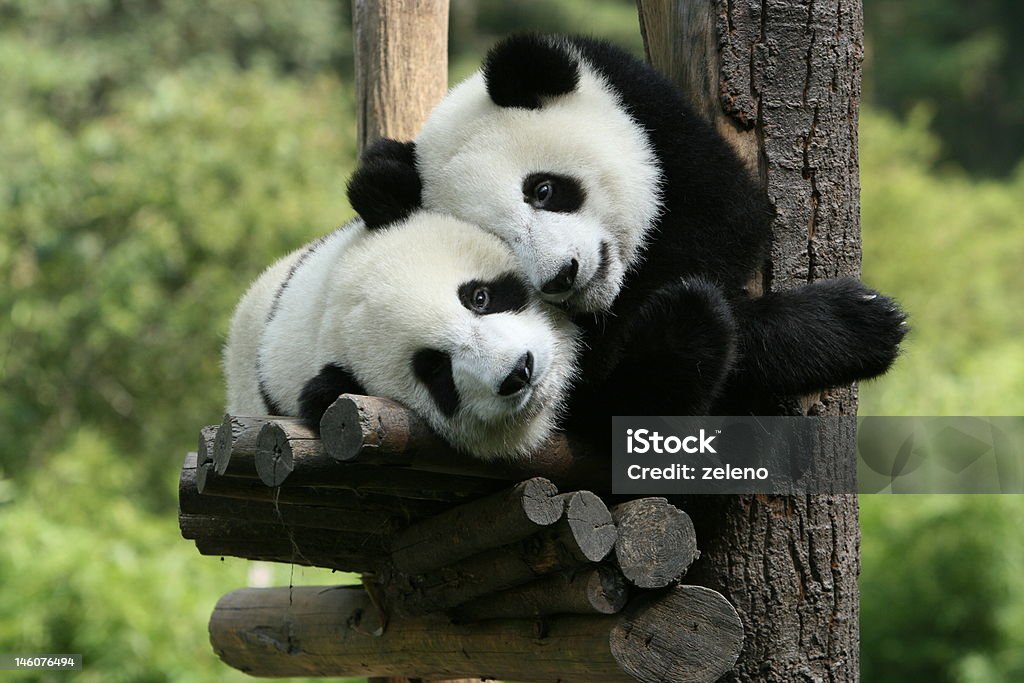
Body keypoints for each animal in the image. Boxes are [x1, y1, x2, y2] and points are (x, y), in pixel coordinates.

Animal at [364, 34, 909, 419]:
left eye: (543, 190)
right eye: (500, 242)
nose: (562, 276)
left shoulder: (652, 117)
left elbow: (729, 220)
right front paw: (855, 323)